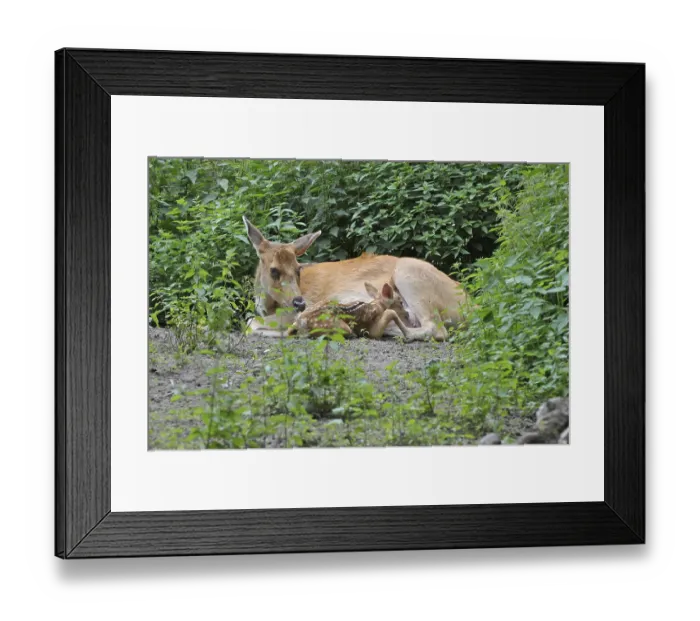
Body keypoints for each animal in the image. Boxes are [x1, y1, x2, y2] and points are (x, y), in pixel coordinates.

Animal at [242, 216, 469, 341]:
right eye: (274, 270)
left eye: (298, 269)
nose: (299, 302)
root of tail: (469, 305)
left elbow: (251, 323)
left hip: (410, 275)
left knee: (436, 328)